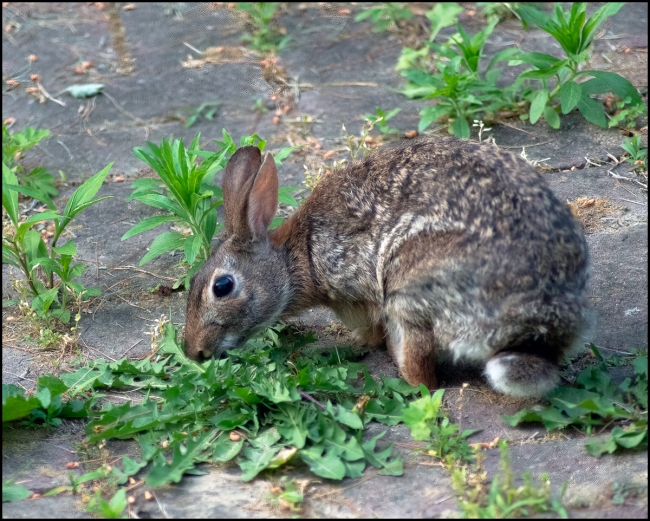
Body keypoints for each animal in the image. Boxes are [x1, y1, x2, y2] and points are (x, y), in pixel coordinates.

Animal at [184, 137, 589, 398]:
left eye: (222, 287)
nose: (194, 352)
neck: (297, 256)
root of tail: (538, 326)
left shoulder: (357, 294)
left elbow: (369, 331)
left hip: (407, 286)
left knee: (423, 373)